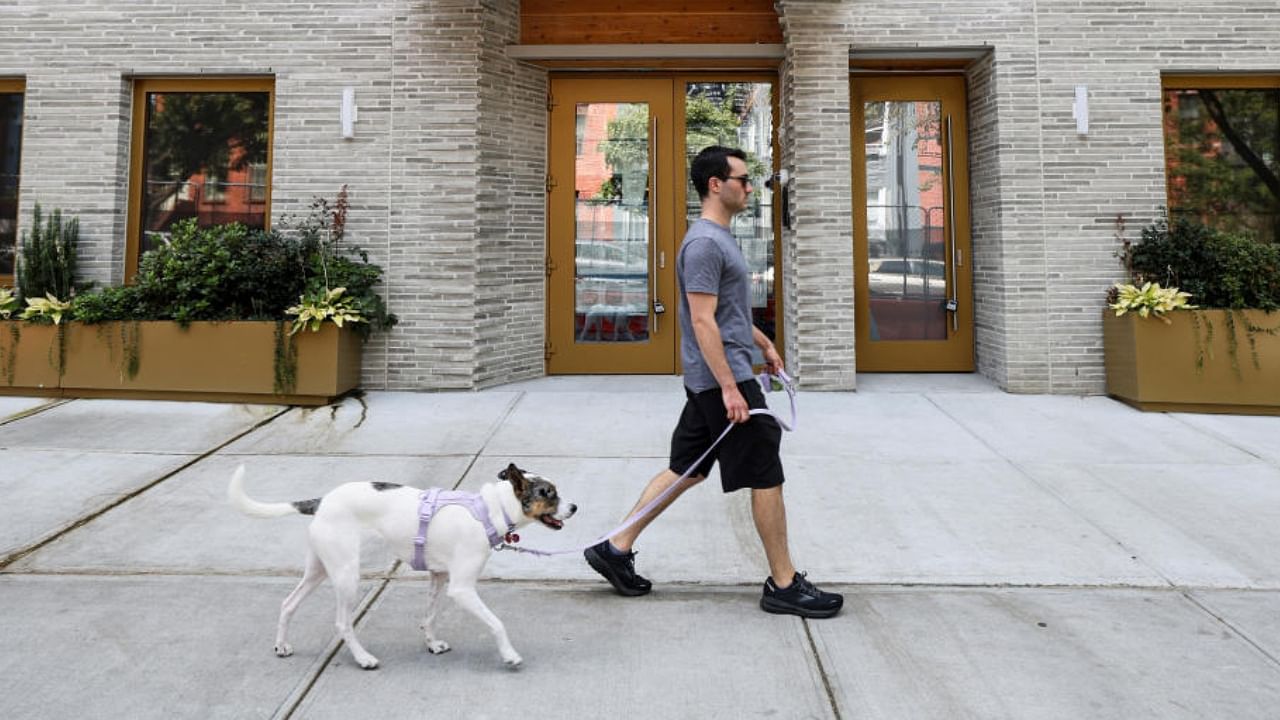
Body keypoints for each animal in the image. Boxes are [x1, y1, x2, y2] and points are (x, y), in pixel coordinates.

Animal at [226, 458, 576, 666]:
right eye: (549, 493)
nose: (574, 507)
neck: (490, 510)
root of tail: (323, 500)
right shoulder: (462, 589)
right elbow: (496, 623)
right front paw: (509, 654)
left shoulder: (439, 577)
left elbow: (430, 616)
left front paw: (432, 643)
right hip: (346, 575)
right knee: (342, 622)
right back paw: (363, 658)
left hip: (319, 569)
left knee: (288, 604)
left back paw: (282, 645)